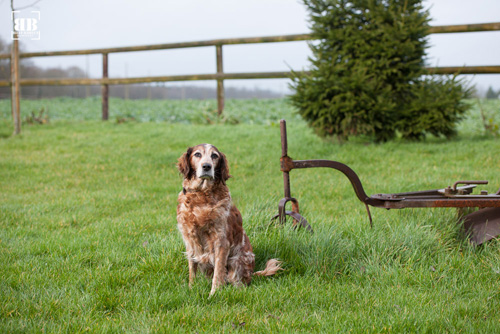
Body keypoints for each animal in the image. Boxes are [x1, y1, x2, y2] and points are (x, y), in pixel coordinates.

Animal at [177, 144, 284, 294]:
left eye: (214, 156)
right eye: (197, 154)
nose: (206, 166)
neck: (202, 196)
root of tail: (252, 273)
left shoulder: (221, 242)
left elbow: (218, 273)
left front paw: (213, 294)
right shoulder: (189, 240)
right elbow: (192, 269)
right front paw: (191, 288)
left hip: (237, 261)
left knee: (238, 283)